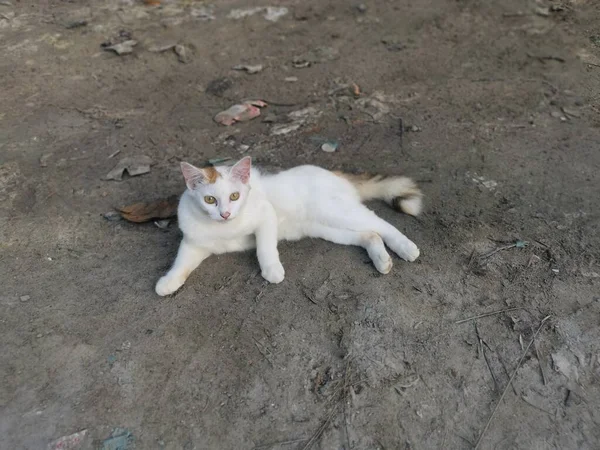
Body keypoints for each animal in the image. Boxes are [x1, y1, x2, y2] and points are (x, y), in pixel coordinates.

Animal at [157, 156, 424, 298]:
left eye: (234, 196)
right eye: (210, 200)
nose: (225, 214)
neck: (225, 228)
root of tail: (335, 173)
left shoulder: (266, 216)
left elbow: (265, 248)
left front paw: (272, 271)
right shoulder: (193, 243)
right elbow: (181, 264)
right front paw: (168, 282)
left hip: (337, 212)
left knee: (381, 223)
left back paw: (406, 247)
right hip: (327, 228)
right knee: (370, 234)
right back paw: (381, 259)